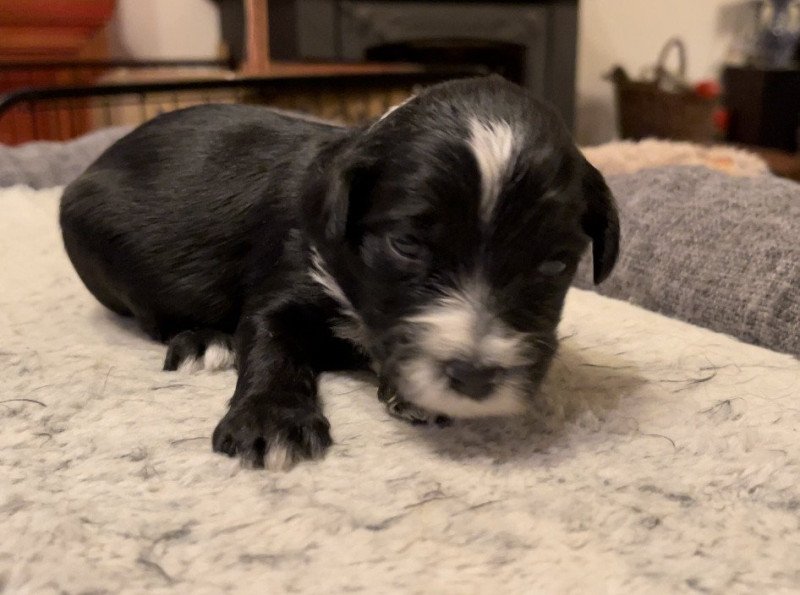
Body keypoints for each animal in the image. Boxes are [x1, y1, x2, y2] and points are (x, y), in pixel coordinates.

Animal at [61, 77, 620, 472]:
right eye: (406, 244)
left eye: (555, 263)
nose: (475, 377)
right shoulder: (289, 274)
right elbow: (268, 339)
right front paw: (271, 421)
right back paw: (202, 341)